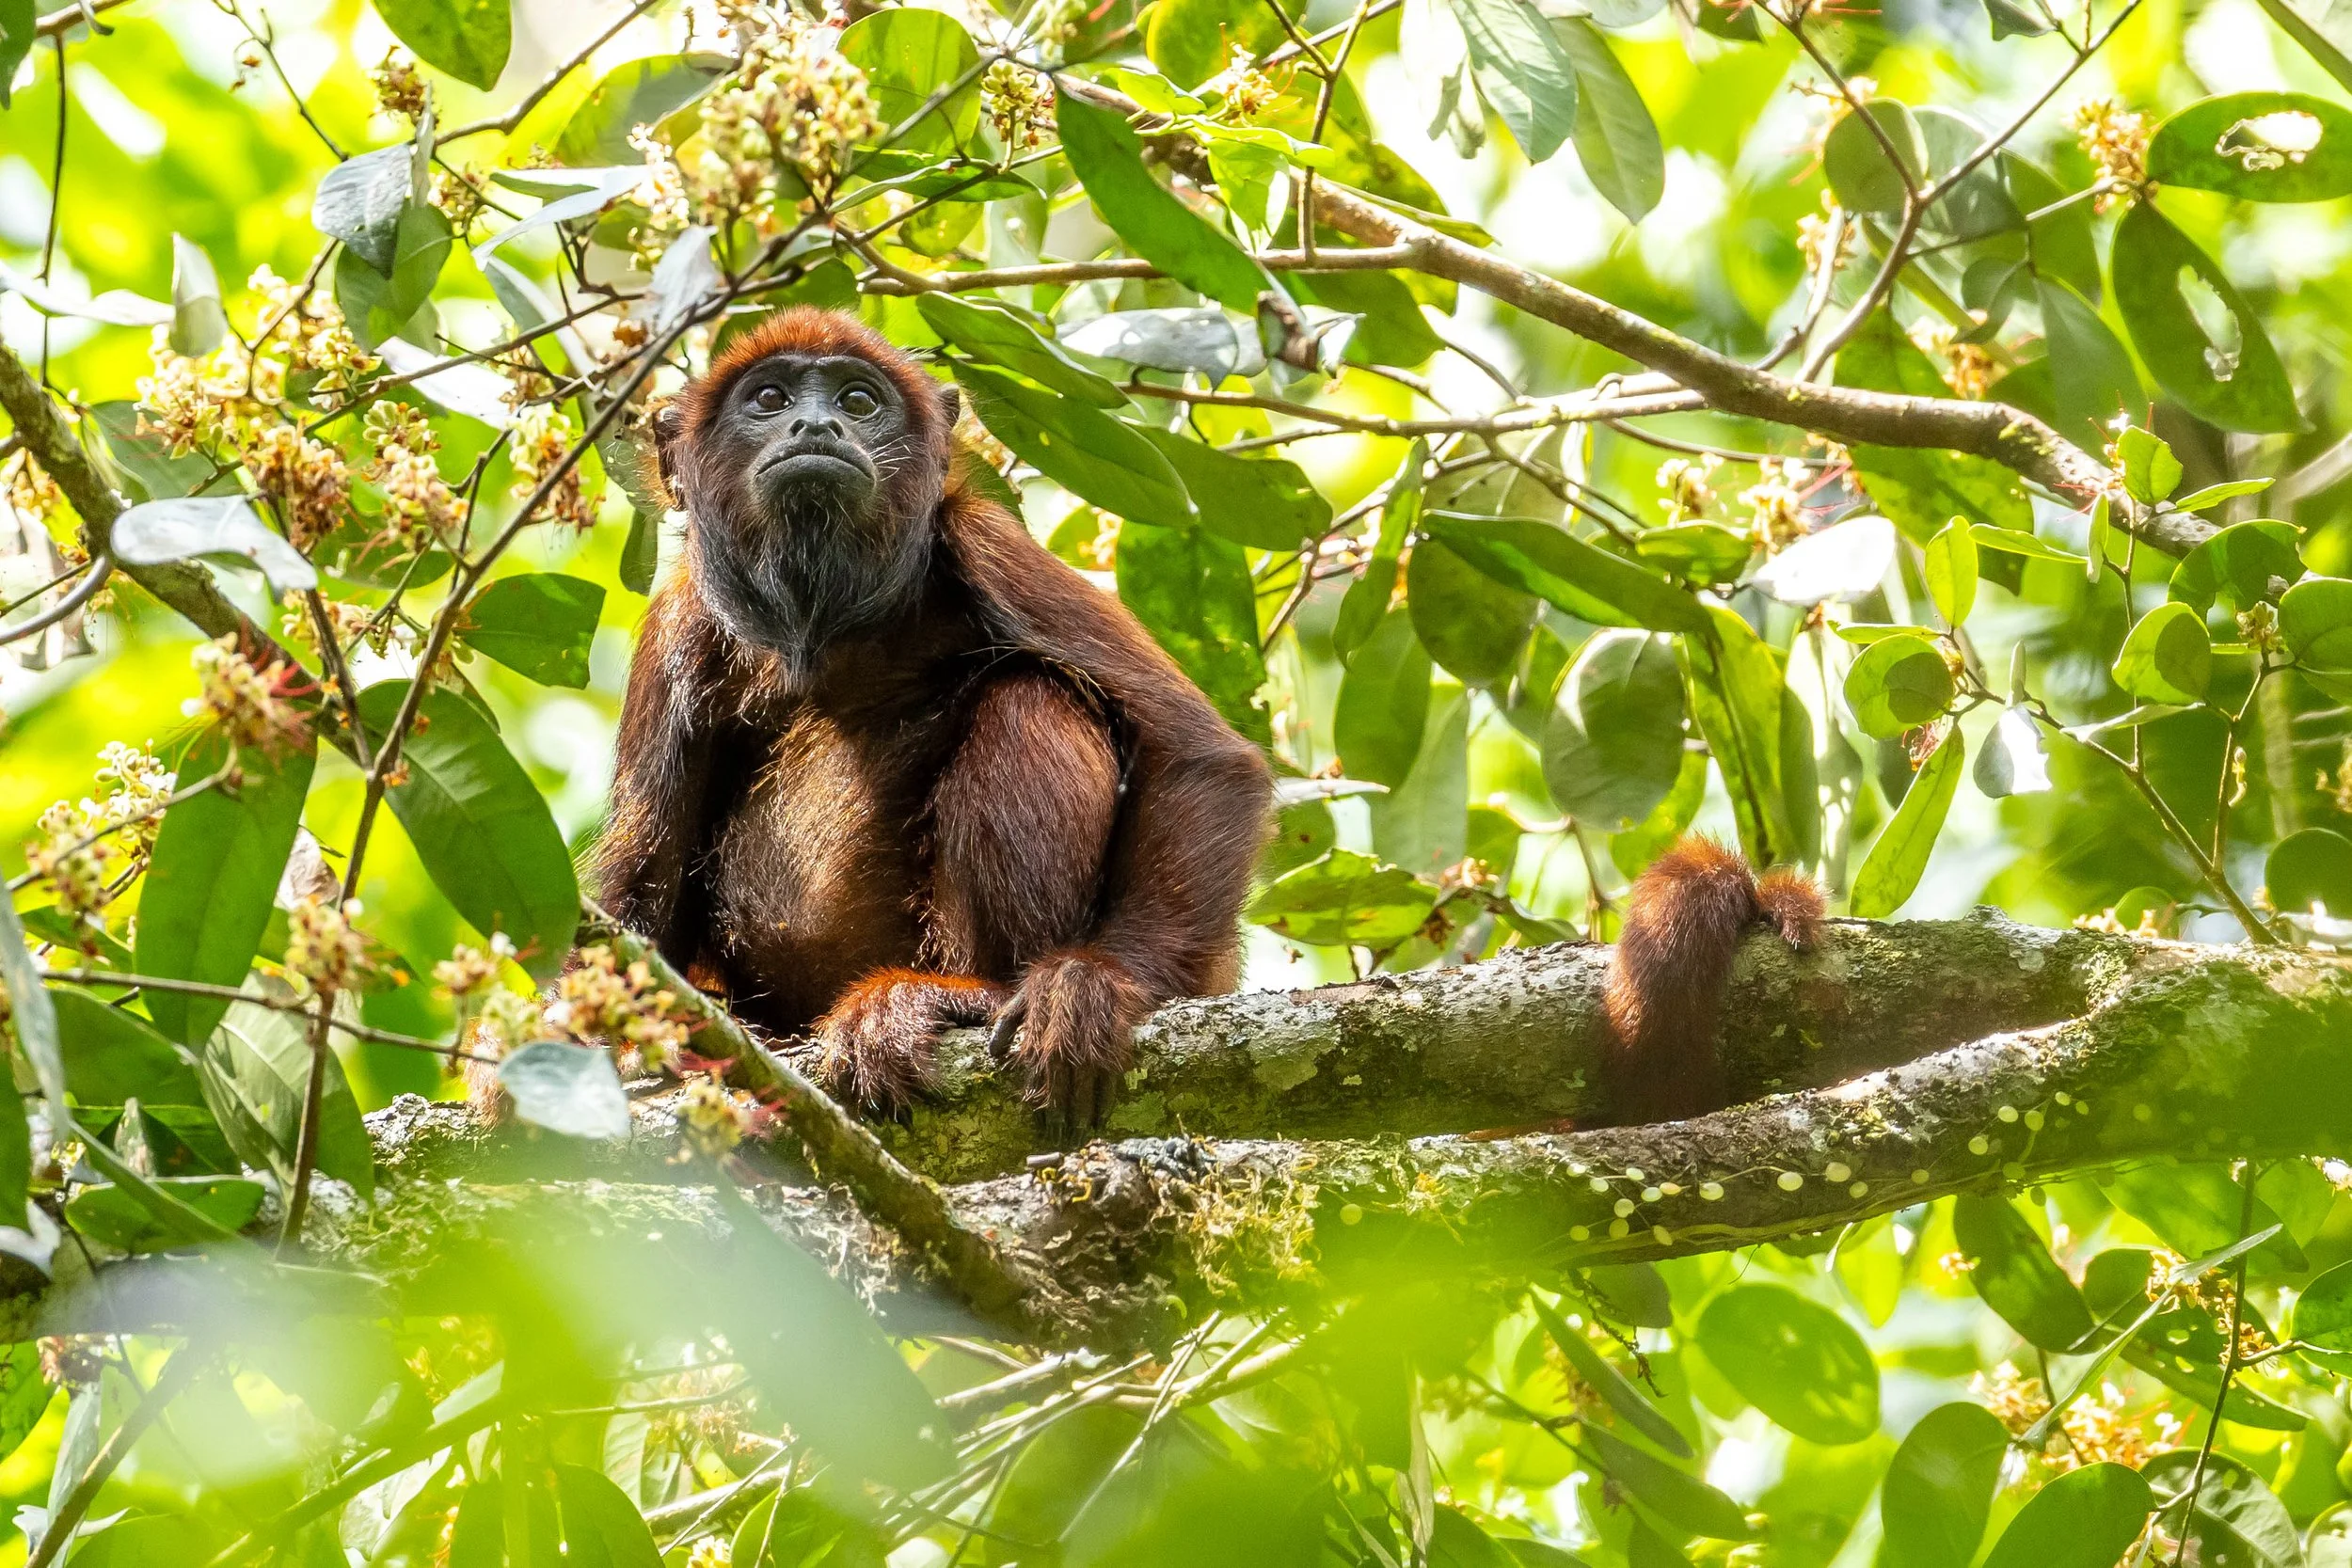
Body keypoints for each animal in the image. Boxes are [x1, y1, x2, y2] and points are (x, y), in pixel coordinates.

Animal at [591, 307, 1273, 1125]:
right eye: (768, 399)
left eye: (858, 401)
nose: (817, 425)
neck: (823, 630)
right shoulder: (677, 625)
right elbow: (643, 877)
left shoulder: (986, 545)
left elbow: (1195, 753)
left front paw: (1102, 982)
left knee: (1028, 696)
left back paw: (967, 995)